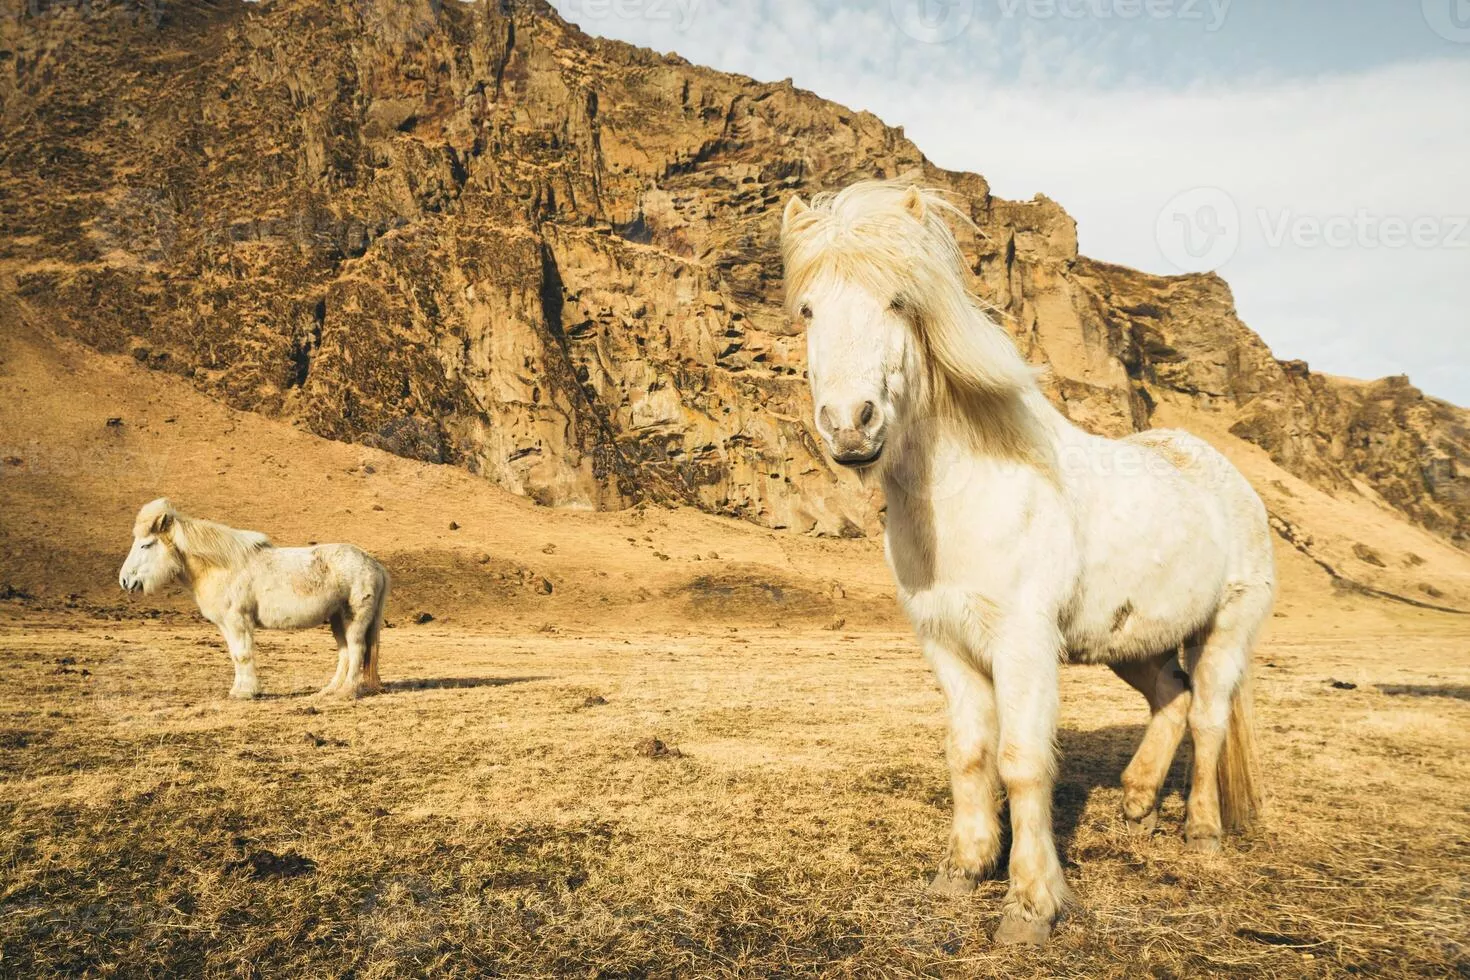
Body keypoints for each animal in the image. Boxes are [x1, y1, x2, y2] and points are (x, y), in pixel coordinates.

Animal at [118, 498, 390, 700]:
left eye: (146, 545)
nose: (124, 581)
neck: (223, 566)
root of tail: (374, 564)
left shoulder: (238, 621)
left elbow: (244, 654)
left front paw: (246, 693)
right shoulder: (226, 625)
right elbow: (235, 655)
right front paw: (239, 690)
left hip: (354, 619)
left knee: (356, 650)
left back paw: (347, 692)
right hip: (337, 619)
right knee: (344, 653)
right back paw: (329, 691)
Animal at [780, 180, 1274, 945]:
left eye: (898, 301)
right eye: (808, 309)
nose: (849, 426)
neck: (971, 493)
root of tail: (1230, 479)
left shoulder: (1022, 645)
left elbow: (1021, 762)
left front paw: (1031, 906)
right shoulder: (948, 646)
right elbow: (969, 755)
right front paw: (963, 870)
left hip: (1224, 633)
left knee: (1207, 720)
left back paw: (1200, 833)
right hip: (1133, 641)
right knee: (1171, 698)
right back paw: (1137, 804)